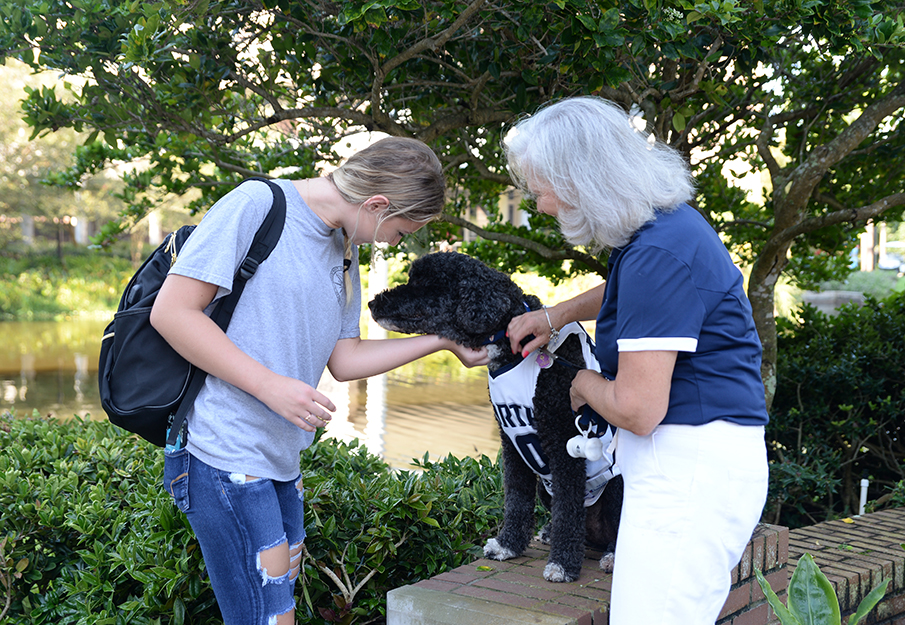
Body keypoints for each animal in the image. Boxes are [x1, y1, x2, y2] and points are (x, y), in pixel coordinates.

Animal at [368, 251, 620, 584]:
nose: (372, 303)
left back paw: (612, 555)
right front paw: (507, 544)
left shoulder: (563, 442)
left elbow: (568, 507)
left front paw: (562, 564)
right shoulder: (512, 443)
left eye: (423, 283)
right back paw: (550, 532)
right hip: (545, 487)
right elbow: (515, 497)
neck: (514, 346)